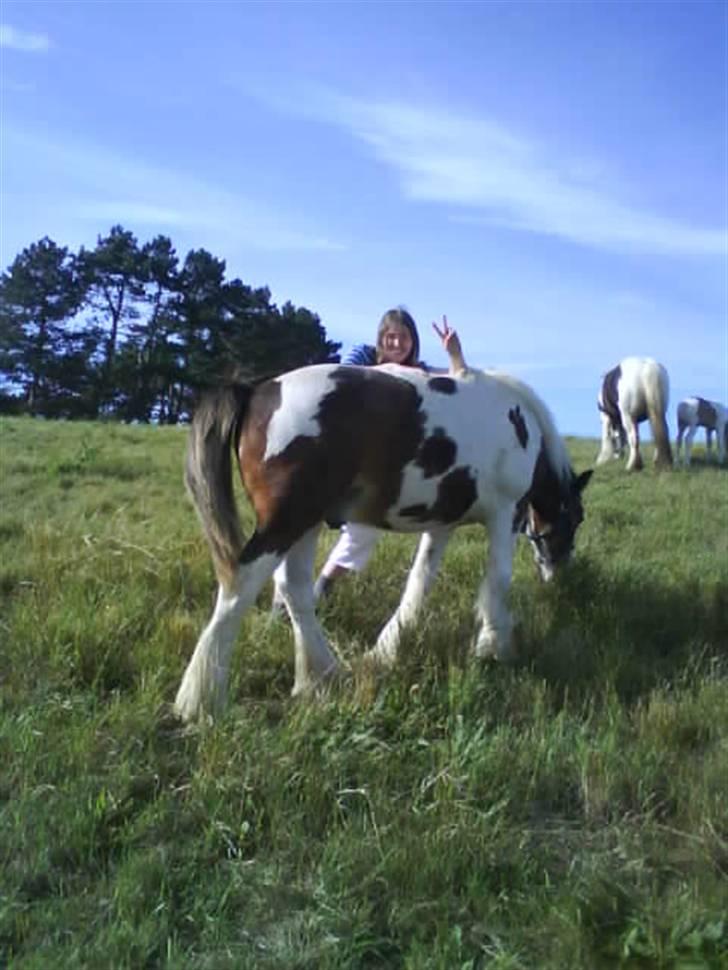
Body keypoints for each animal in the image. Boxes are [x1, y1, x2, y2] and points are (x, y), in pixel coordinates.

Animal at [176, 362, 592, 720]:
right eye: (577, 517)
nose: (559, 572)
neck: (520, 423)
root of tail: (259, 390)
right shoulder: (506, 513)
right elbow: (497, 581)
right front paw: (493, 647)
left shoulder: (441, 525)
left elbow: (419, 582)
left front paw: (388, 646)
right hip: (285, 523)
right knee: (238, 590)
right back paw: (202, 699)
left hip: (305, 523)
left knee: (294, 590)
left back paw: (319, 676)